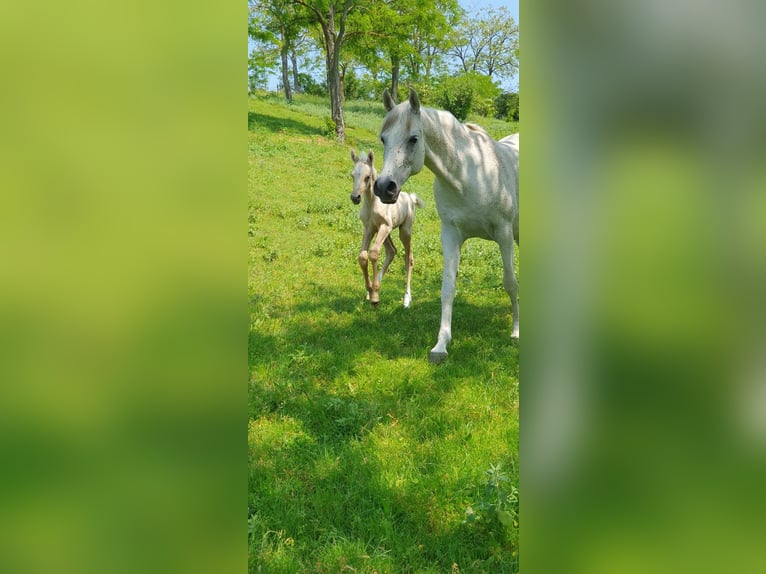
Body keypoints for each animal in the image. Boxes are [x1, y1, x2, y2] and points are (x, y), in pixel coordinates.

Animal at [352, 151, 426, 308]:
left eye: (367, 177)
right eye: (352, 175)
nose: (355, 197)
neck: (372, 204)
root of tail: (410, 198)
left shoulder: (383, 226)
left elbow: (373, 253)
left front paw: (375, 297)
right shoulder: (369, 228)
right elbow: (363, 256)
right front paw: (370, 290)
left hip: (404, 230)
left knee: (408, 258)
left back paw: (406, 299)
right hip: (387, 232)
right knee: (392, 251)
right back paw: (377, 284)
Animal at [376, 86, 520, 364]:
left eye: (413, 139)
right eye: (383, 139)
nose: (384, 187)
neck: (468, 175)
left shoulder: (504, 233)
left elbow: (510, 282)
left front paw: (516, 332)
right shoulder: (451, 234)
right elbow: (447, 287)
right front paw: (441, 345)